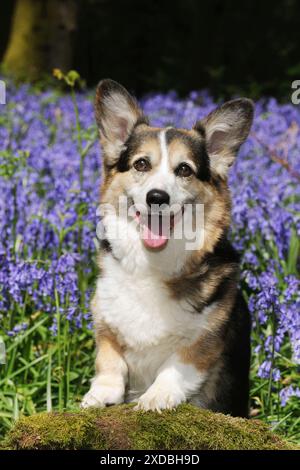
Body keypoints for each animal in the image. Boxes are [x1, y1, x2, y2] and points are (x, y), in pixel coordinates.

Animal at [81, 80, 253, 418]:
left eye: (184, 169)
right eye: (141, 164)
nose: (157, 197)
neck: (153, 263)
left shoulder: (205, 337)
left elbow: (176, 366)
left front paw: (155, 397)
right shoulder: (104, 321)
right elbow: (110, 361)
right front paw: (100, 395)